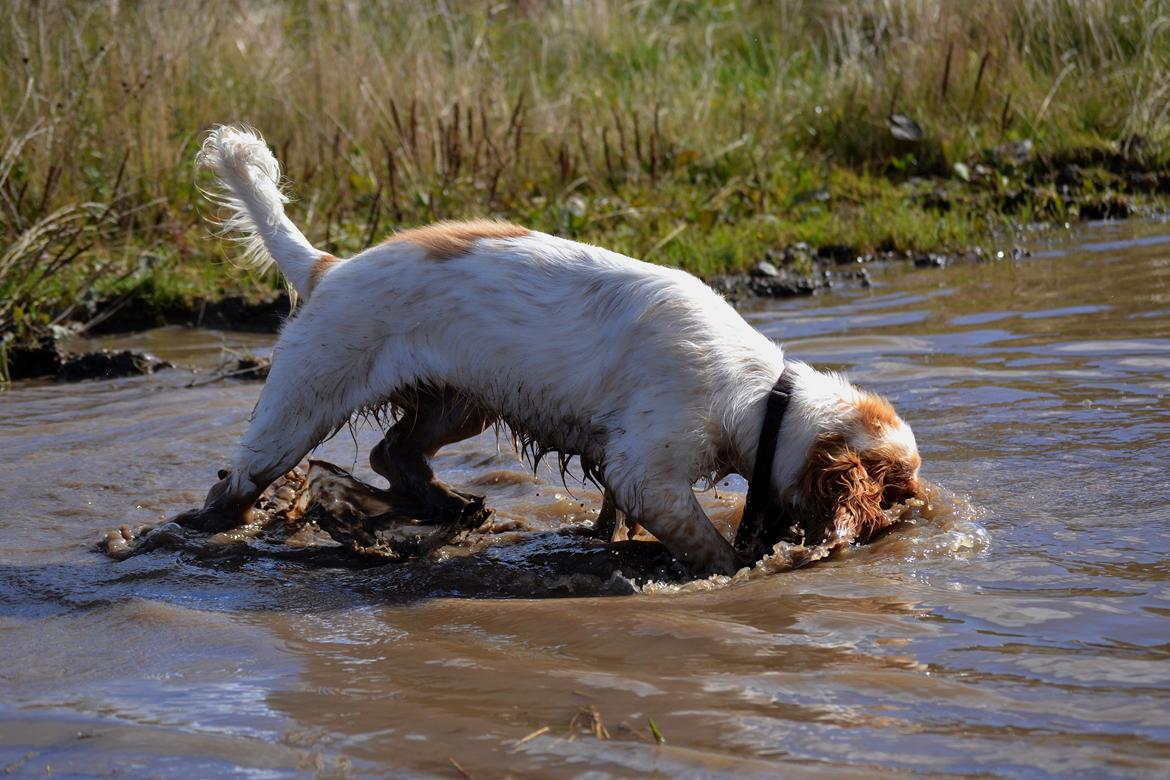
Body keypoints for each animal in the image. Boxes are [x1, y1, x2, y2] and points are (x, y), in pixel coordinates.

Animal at [180, 125, 921, 577]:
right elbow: (708, 547)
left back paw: (450, 507)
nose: (915, 514)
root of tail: (327, 266)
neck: (763, 397)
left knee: (395, 454)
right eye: (894, 490)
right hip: (300, 409)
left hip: (461, 405)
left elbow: (613, 520)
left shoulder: (619, 464)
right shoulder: (649, 471)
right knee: (235, 484)